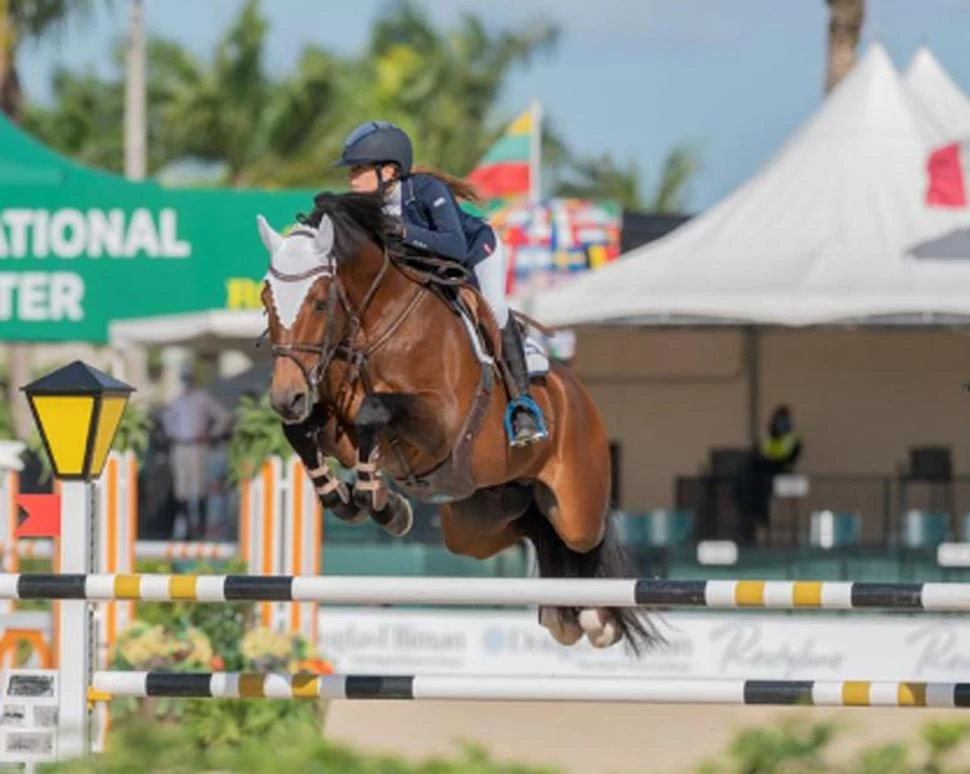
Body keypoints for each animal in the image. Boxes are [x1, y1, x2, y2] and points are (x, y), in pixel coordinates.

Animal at [255, 192, 656, 656]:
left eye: (320, 301)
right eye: (266, 301)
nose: (286, 398)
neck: (375, 324)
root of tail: (579, 393)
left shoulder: (440, 424)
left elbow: (373, 410)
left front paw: (377, 499)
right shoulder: (336, 424)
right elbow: (305, 432)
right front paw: (351, 498)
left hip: (576, 507)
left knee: (584, 536)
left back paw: (597, 617)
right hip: (473, 520)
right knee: (529, 521)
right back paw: (566, 613)